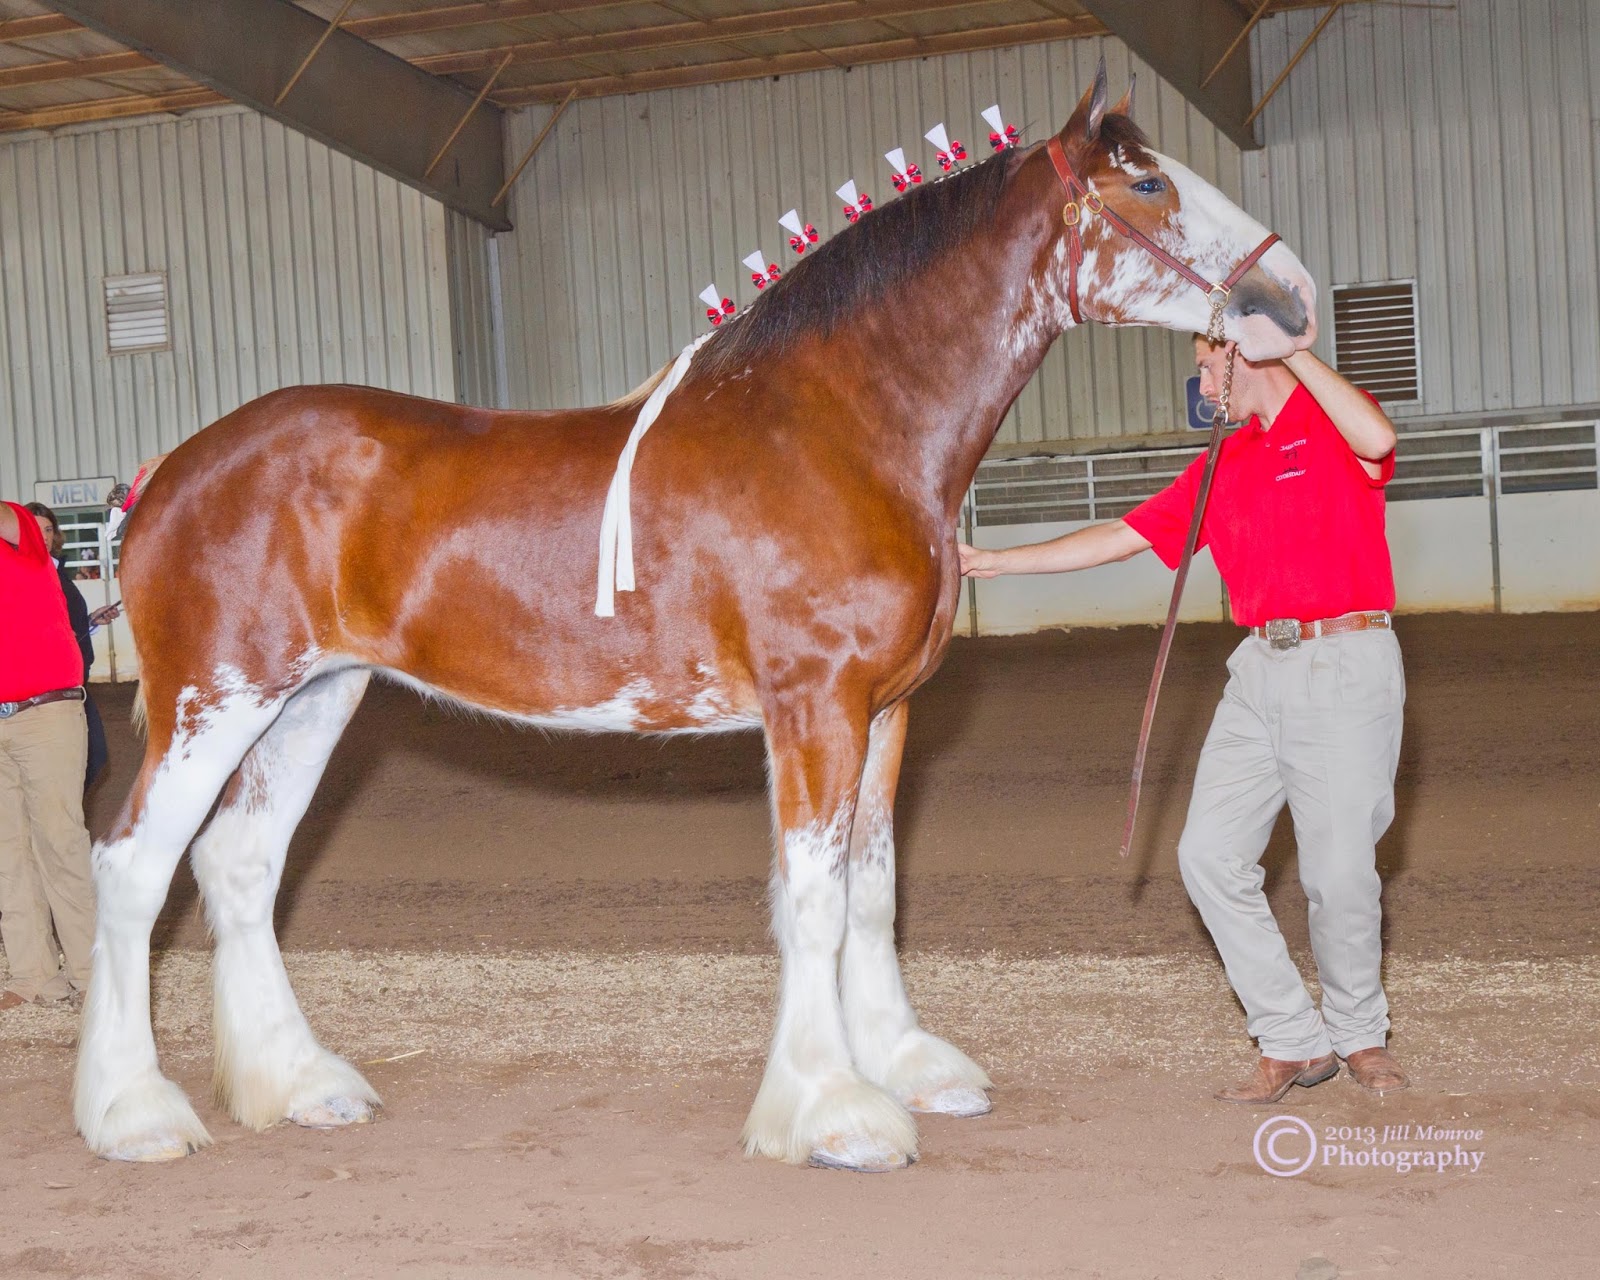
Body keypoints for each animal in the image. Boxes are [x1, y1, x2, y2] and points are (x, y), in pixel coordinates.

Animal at [75, 62, 1316, 1172]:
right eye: (1148, 185)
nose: (1294, 298)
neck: (840, 426)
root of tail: (167, 473)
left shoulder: (886, 716)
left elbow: (872, 893)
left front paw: (908, 1064)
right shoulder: (814, 708)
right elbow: (812, 902)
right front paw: (833, 1113)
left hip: (313, 699)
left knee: (239, 861)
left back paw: (297, 1084)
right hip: (216, 698)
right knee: (135, 865)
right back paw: (133, 1112)